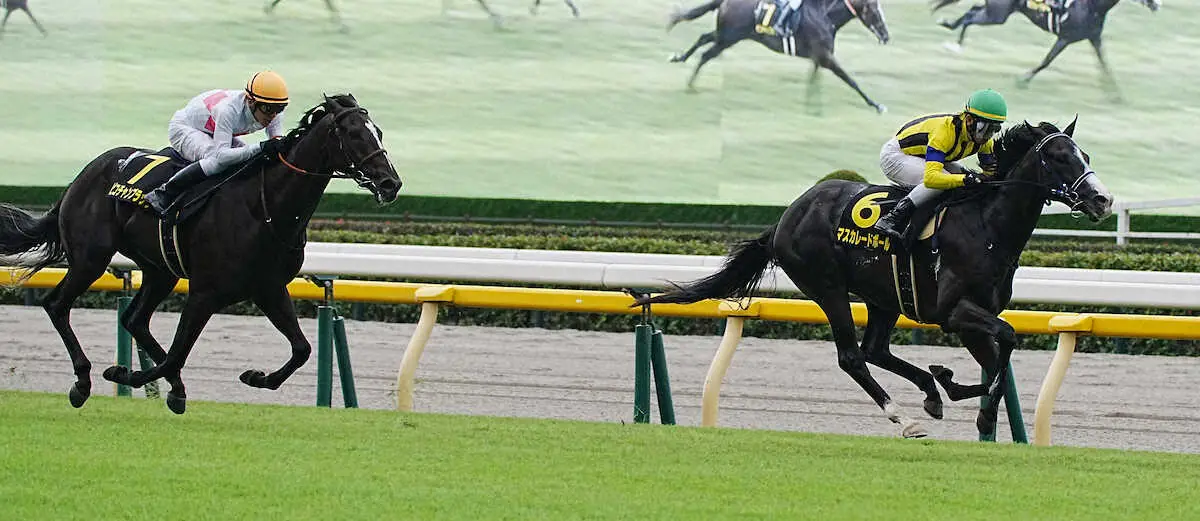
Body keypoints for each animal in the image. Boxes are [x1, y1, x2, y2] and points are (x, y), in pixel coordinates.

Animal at [0, 93, 403, 415]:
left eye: (379, 132)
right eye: (355, 133)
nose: (391, 183)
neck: (266, 207)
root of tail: (81, 176)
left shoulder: (268, 289)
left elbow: (301, 349)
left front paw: (256, 377)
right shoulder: (205, 291)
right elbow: (178, 352)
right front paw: (122, 372)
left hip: (160, 270)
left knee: (134, 319)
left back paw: (174, 389)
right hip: (90, 258)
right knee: (57, 305)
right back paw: (83, 381)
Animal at [633, 120, 1108, 436]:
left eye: (1085, 156)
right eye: (1059, 157)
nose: (1102, 199)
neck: (988, 225)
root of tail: (788, 215)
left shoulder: (974, 317)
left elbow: (999, 360)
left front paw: (963, 396)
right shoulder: (955, 312)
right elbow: (1006, 340)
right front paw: (965, 396)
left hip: (884, 295)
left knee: (875, 349)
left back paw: (929, 393)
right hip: (827, 287)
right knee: (852, 357)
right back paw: (904, 416)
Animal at [667, 0, 892, 112]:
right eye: (875, 12)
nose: (886, 36)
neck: (825, 14)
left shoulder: (818, 57)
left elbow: (813, 80)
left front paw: (811, 104)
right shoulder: (825, 57)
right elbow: (851, 80)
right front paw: (877, 105)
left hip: (727, 35)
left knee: (703, 38)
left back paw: (680, 58)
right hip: (729, 38)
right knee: (706, 54)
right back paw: (690, 83)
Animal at [931, 0, 1156, 90]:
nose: (1156, 4)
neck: (1092, 6)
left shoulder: (1094, 38)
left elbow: (1105, 66)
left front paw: (1115, 95)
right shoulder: (1065, 38)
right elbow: (1046, 61)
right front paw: (1023, 80)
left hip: (998, 13)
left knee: (972, 12)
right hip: (997, 14)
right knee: (970, 17)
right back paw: (955, 41)